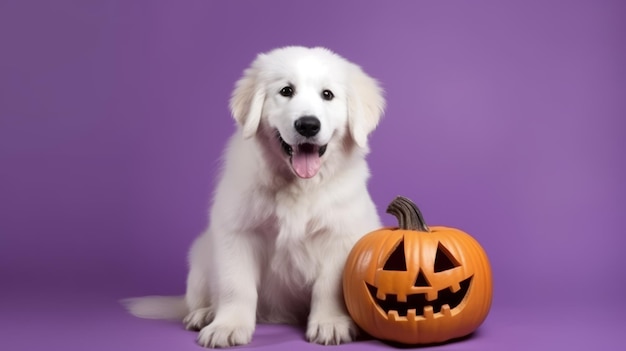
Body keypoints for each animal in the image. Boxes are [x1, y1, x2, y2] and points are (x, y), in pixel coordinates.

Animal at [123, 46, 382, 350]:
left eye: (327, 95)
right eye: (286, 91)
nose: (307, 125)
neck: (298, 186)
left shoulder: (340, 236)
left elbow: (329, 287)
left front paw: (331, 323)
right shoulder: (238, 233)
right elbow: (237, 286)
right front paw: (227, 326)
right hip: (200, 257)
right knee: (202, 297)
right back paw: (205, 314)